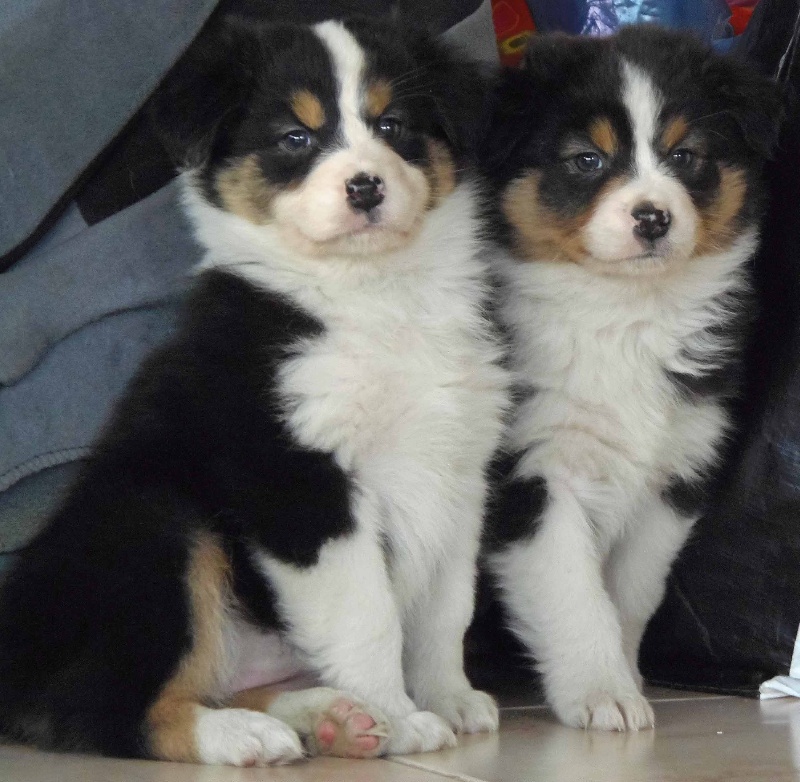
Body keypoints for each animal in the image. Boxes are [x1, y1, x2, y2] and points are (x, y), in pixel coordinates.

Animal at [0, 16, 506, 764]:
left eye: (393, 125)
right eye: (295, 138)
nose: (365, 188)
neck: (373, 294)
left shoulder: (458, 473)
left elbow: (445, 610)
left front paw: (447, 699)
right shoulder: (299, 481)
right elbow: (369, 613)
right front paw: (404, 720)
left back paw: (330, 718)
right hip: (157, 530)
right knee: (107, 710)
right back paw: (243, 735)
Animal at [482, 26, 780, 736]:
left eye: (685, 154)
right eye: (587, 159)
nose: (652, 217)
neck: (626, 316)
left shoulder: (675, 472)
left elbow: (632, 591)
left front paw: (625, 673)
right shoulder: (532, 473)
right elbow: (571, 589)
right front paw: (602, 694)